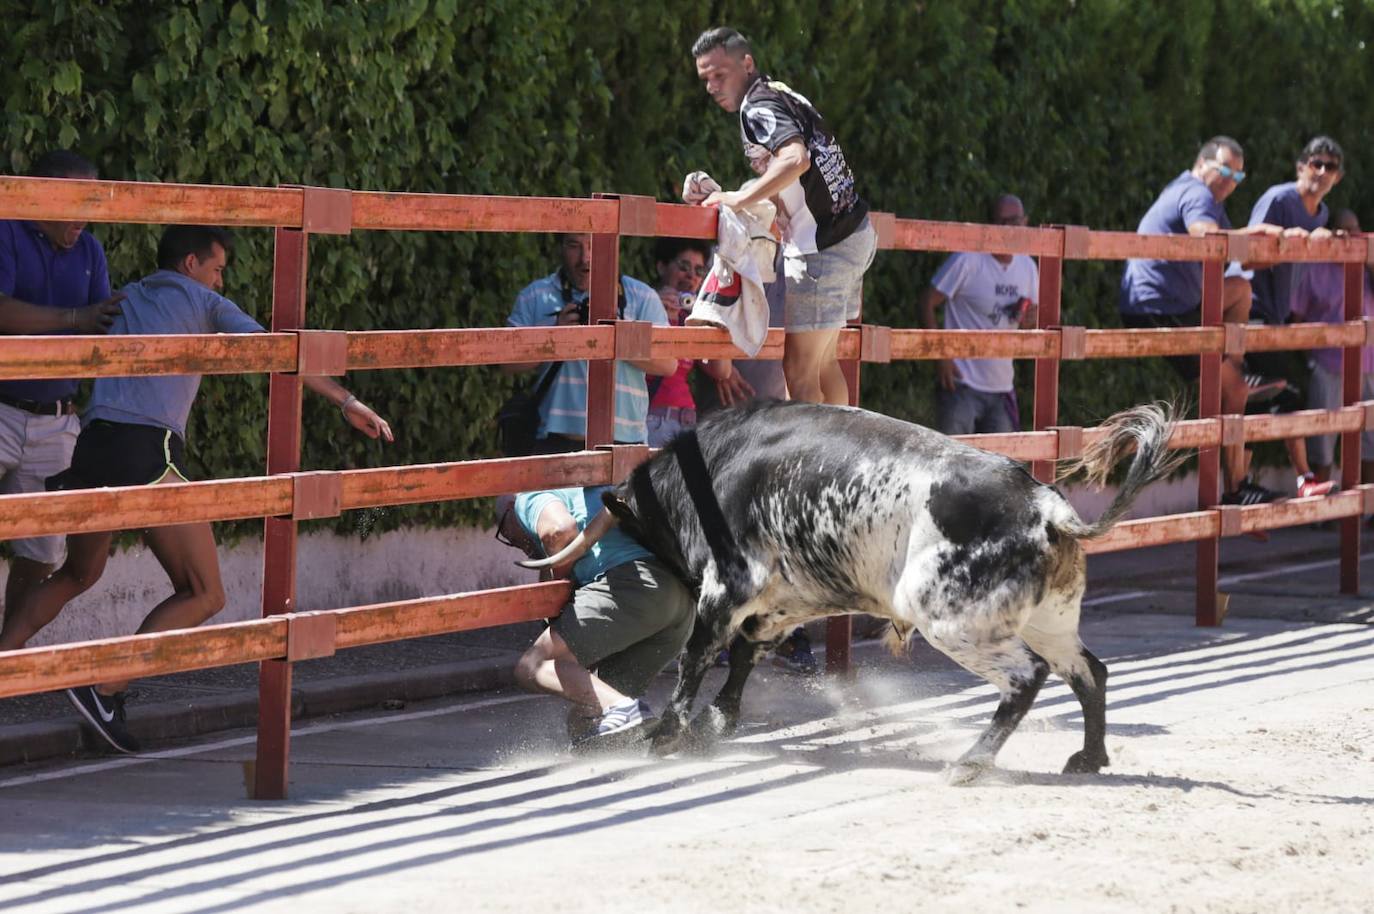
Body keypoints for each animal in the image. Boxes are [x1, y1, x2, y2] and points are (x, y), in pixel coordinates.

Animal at [522, 395, 1181, 780]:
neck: (710, 466)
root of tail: (1046, 507)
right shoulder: (784, 600)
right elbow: (744, 656)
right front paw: (717, 722)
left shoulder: (728, 584)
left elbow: (698, 659)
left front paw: (668, 734)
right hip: (1050, 620)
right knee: (1088, 672)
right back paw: (1089, 758)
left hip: (953, 619)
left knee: (1026, 678)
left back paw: (970, 763)